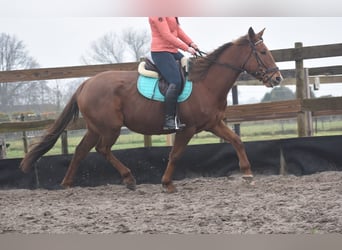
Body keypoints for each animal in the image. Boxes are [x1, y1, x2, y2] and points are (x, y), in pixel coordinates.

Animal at [20, 27, 284, 192]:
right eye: (263, 52)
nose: (278, 78)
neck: (205, 82)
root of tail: (86, 83)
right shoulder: (187, 129)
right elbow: (175, 154)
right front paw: (167, 183)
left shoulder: (213, 124)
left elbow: (237, 141)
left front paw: (248, 174)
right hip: (110, 128)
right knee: (101, 149)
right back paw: (128, 178)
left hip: (96, 128)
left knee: (81, 151)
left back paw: (67, 184)